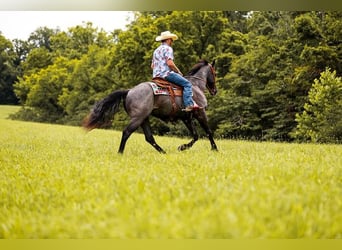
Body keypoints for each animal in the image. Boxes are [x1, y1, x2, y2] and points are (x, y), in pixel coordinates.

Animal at [81, 59, 218, 153]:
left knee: (149, 137)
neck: (195, 86)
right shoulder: (200, 113)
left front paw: (182, 147)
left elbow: (195, 135)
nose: (215, 91)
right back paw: (120, 152)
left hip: (144, 118)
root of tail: (129, 91)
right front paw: (215, 149)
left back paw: (163, 152)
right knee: (127, 132)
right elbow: (208, 131)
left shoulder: (186, 118)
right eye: (214, 73)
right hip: (138, 118)